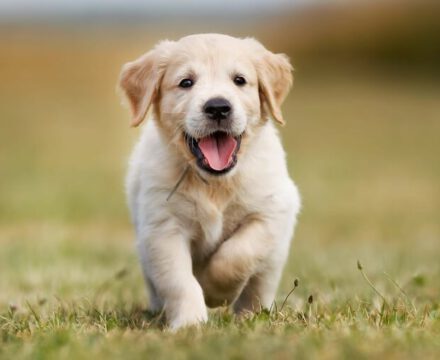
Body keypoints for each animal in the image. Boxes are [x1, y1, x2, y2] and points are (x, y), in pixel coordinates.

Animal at [118, 33, 300, 330]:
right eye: (186, 82)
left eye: (239, 80)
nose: (218, 107)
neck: (215, 183)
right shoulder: (163, 229)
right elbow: (179, 281)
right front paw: (190, 323)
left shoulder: (272, 211)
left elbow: (238, 254)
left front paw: (216, 292)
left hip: (274, 257)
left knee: (259, 284)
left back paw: (251, 314)